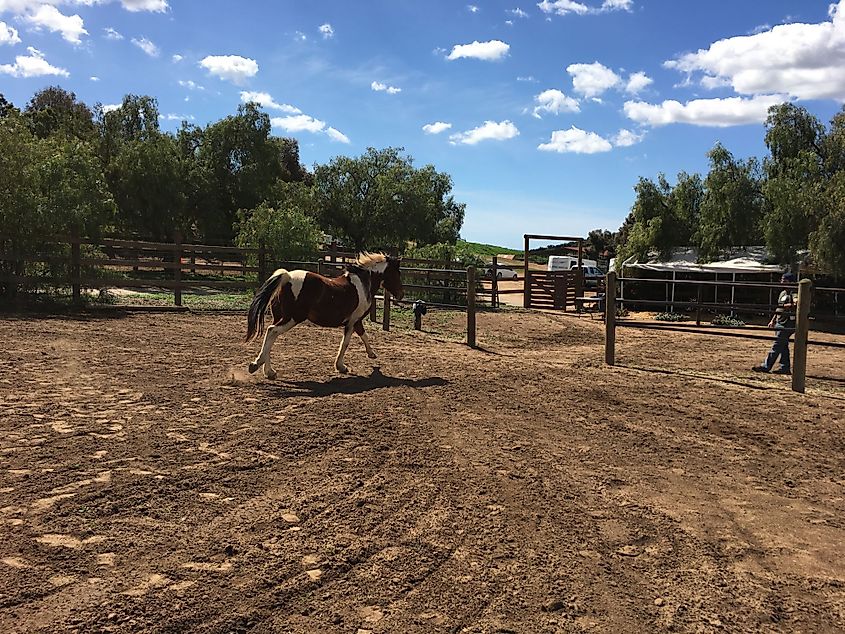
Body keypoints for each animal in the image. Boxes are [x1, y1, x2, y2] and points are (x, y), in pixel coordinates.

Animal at [244, 253, 402, 376]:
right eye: (397, 273)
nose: (401, 294)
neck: (363, 285)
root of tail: (287, 277)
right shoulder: (353, 321)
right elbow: (346, 343)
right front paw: (341, 366)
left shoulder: (355, 321)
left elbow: (363, 335)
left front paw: (371, 355)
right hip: (293, 318)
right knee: (272, 331)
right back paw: (256, 365)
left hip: (280, 317)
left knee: (270, 336)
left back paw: (268, 371)